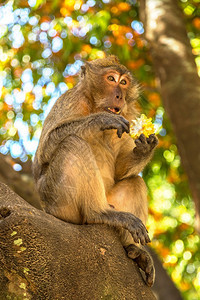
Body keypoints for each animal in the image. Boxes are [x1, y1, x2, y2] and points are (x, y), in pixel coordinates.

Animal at [32, 55, 158, 288]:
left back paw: (132, 249)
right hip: (59, 202)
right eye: (111, 79)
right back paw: (99, 213)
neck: (93, 103)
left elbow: (120, 172)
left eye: (124, 82)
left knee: (134, 181)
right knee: (72, 142)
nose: (119, 95)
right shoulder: (71, 100)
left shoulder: (129, 113)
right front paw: (101, 120)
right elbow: (43, 155)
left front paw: (145, 148)